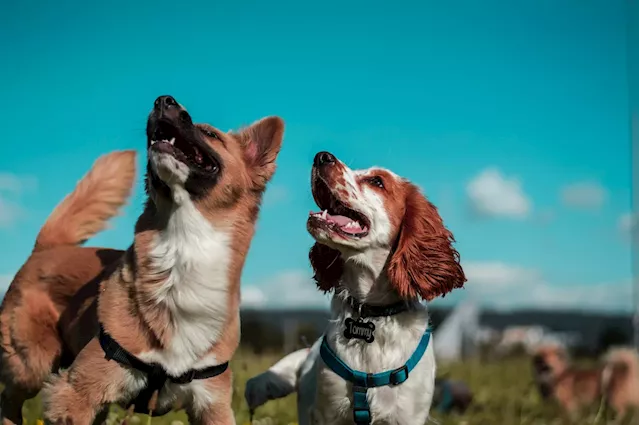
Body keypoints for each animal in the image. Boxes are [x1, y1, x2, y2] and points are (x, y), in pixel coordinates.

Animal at [0, 95, 284, 424]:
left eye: (210, 134)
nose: (164, 100)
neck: (183, 250)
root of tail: (48, 247)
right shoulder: (75, 393)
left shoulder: (213, 405)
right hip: (32, 365)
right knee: (9, 399)